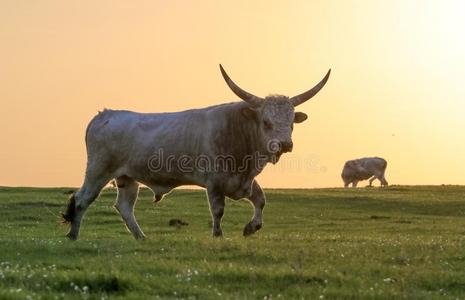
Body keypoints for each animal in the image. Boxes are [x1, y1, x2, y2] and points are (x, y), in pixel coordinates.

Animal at [62, 65, 330, 239]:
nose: (284, 144)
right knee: (83, 198)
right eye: (266, 122)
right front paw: (218, 235)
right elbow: (218, 210)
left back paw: (141, 238)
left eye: (291, 122)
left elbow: (261, 200)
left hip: (127, 177)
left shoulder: (243, 182)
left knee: (125, 207)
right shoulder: (215, 182)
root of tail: (104, 114)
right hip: (98, 170)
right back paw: (73, 236)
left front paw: (250, 228)